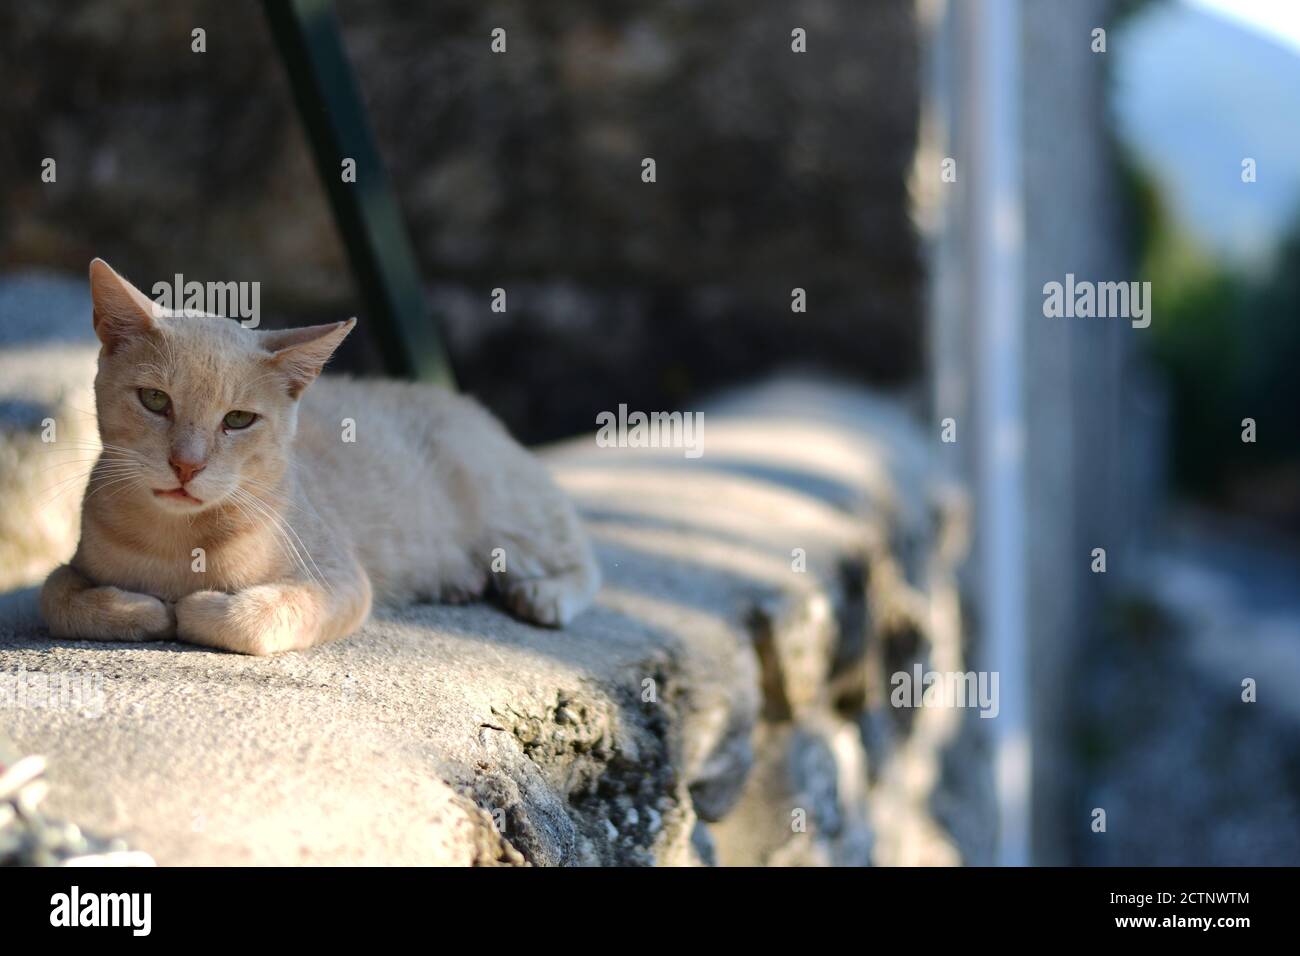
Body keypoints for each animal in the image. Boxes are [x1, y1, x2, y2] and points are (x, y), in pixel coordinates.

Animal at [39, 257, 598, 655]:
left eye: (237, 419)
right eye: (155, 400)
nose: (187, 465)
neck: (179, 545)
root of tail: (464, 404)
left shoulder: (341, 582)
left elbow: (252, 618)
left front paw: (195, 610)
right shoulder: (76, 565)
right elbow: (55, 594)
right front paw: (139, 609)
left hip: (509, 515)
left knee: (583, 562)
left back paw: (543, 595)